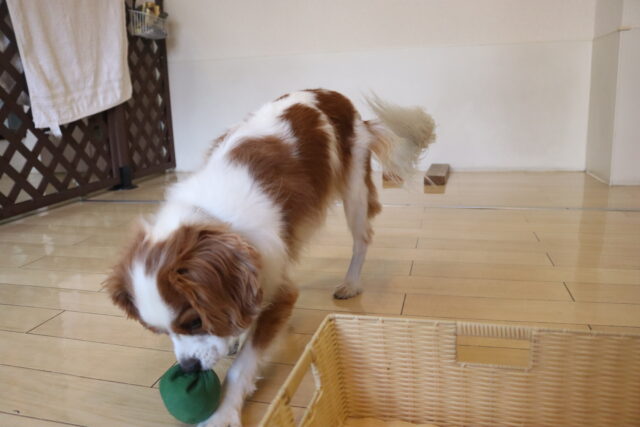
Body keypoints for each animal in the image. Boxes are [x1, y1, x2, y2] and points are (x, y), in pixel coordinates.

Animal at [106, 89, 435, 426]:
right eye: (160, 332)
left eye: (195, 321)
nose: (188, 368)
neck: (215, 217)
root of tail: (334, 97)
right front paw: (236, 334)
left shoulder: (278, 290)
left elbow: (242, 366)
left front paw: (224, 411)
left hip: (354, 189)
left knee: (362, 239)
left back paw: (351, 283)